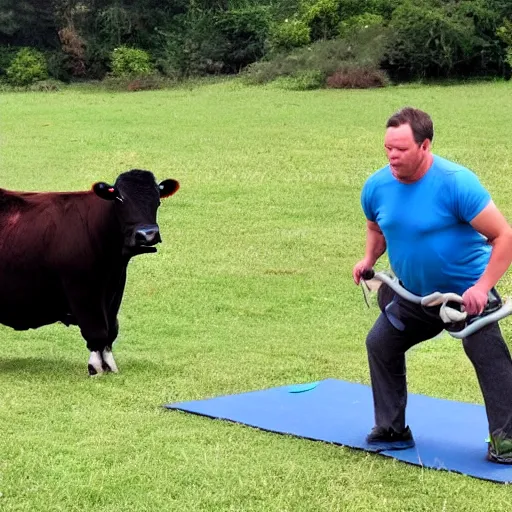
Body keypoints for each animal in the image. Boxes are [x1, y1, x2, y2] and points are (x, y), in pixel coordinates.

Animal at [0, 170, 180, 374]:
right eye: (119, 198)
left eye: (158, 198)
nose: (147, 234)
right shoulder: (82, 289)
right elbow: (96, 330)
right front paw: (96, 368)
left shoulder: (114, 291)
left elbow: (111, 330)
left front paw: (110, 365)